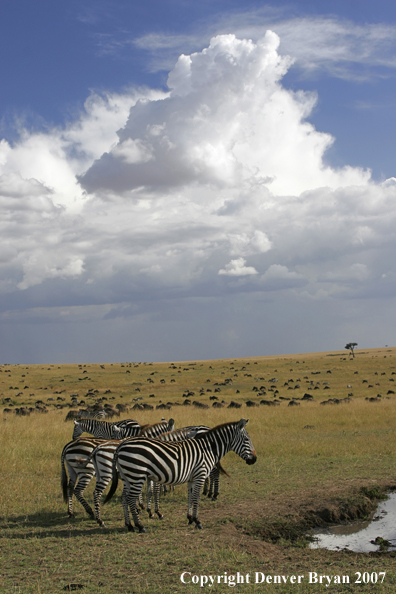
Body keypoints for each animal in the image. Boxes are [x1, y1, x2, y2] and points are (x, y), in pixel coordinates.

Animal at [103, 416, 256, 532]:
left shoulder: (192, 478)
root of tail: (120, 446)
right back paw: (140, 526)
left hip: (129, 477)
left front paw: (190, 518)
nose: (254, 459)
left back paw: (129, 525)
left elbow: (190, 497)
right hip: (137, 475)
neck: (208, 449)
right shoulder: (200, 475)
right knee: (130, 498)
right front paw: (197, 521)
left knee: (124, 498)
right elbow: (196, 499)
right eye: (247, 440)